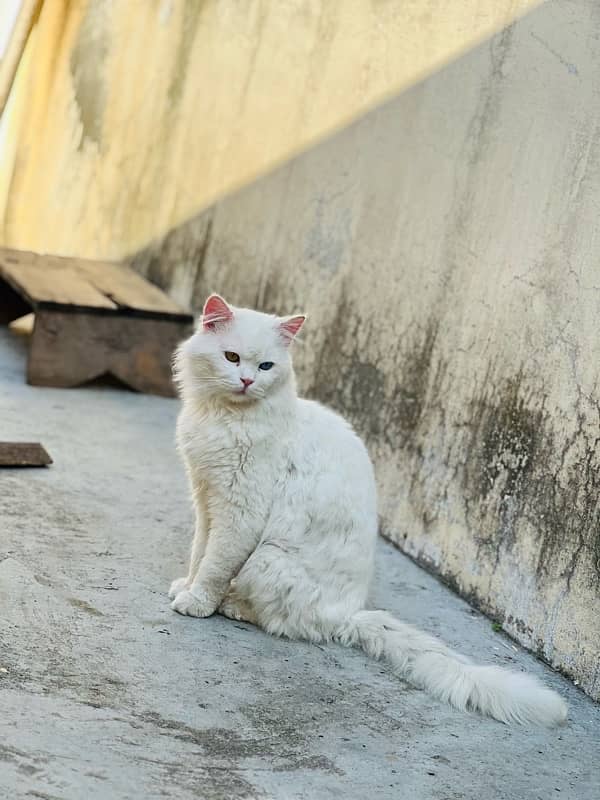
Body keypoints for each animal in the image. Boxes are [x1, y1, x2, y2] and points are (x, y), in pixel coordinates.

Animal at [169, 296, 568, 728]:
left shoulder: (239, 512)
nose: (246, 382)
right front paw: (185, 586)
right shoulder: (206, 497)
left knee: (281, 621)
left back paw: (232, 605)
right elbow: (199, 553)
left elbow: (215, 565)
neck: (224, 417)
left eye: (266, 367)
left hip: (266, 558)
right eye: (232, 357)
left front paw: (198, 602)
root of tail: (350, 614)